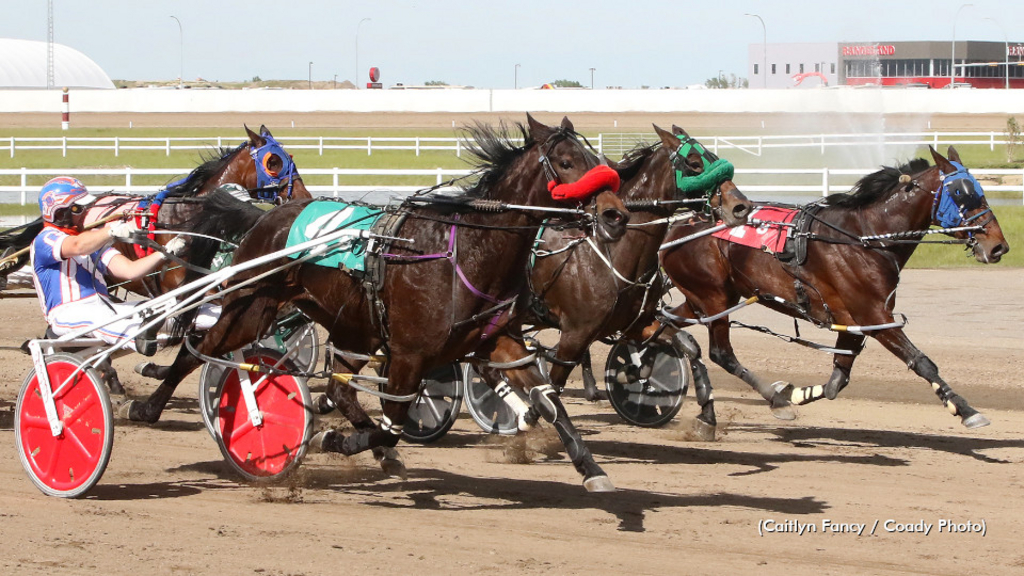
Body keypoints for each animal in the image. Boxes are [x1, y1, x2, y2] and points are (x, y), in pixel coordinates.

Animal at [121, 115, 630, 487]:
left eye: (597, 157)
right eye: (566, 161)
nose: (616, 215)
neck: (468, 250)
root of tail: (264, 217)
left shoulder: (497, 341)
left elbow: (549, 400)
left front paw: (591, 469)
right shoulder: (409, 355)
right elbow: (394, 420)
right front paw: (337, 442)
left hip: (354, 328)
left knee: (340, 389)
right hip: (252, 306)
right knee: (199, 350)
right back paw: (146, 407)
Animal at [663, 144, 1007, 434]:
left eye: (980, 191)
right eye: (961, 193)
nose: (998, 246)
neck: (865, 238)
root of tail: (677, 225)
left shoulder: (853, 320)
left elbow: (836, 383)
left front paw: (796, 393)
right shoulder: (874, 316)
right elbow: (922, 361)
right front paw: (966, 410)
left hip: (703, 298)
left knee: (670, 327)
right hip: (714, 297)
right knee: (719, 353)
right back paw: (735, 409)